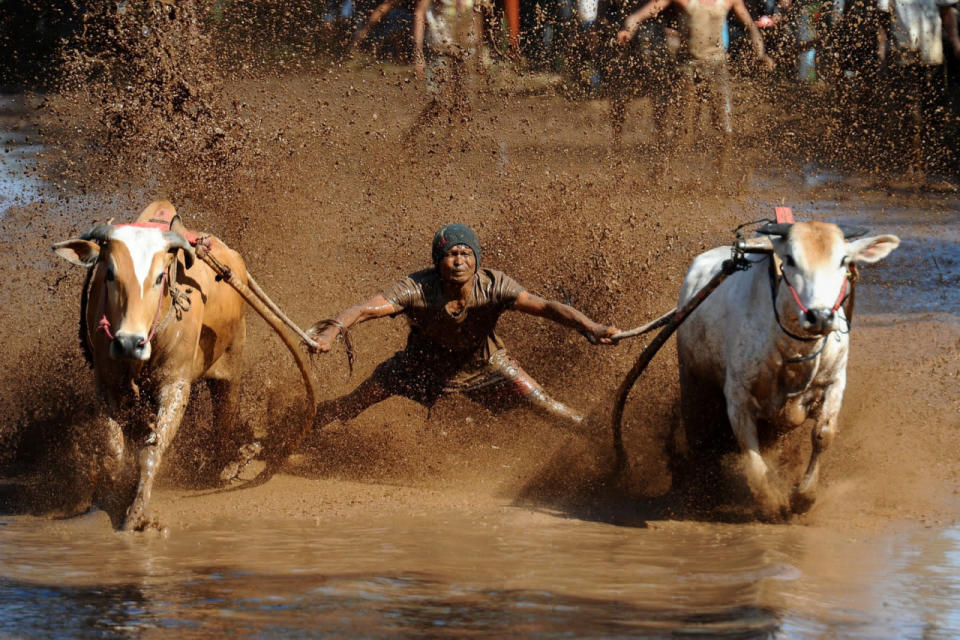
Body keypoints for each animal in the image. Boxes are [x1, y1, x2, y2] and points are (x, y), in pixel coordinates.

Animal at [52, 200, 248, 528]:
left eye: (159, 277)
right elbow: (115, 451)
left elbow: (152, 449)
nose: (130, 342)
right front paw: (108, 498)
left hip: (231, 364)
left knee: (225, 417)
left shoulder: (175, 385)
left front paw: (137, 514)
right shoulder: (107, 385)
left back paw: (226, 463)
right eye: (109, 273)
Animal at [676, 220, 900, 520]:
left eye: (843, 260)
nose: (820, 316)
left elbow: (823, 434)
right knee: (696, 431)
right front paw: (771, 502)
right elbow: (750, 451)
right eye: (790, 259)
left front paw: (804, 495)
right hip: (691, 380)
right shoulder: (737, 395)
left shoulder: (835, 381)